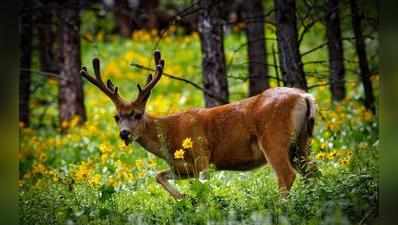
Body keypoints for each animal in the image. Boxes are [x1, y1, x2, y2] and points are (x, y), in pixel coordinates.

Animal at [79, 50, 318, 199]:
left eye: (137, 114)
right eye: (116, 117)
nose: (124, 134)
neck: (170, 134)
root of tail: (305, 96)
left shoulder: (201, 153)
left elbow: (204, 186)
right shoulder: (184, 167)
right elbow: (158, 175)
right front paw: (183, 197)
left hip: (274, 138)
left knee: (287, 176)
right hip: (302, 141)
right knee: (313, 172)